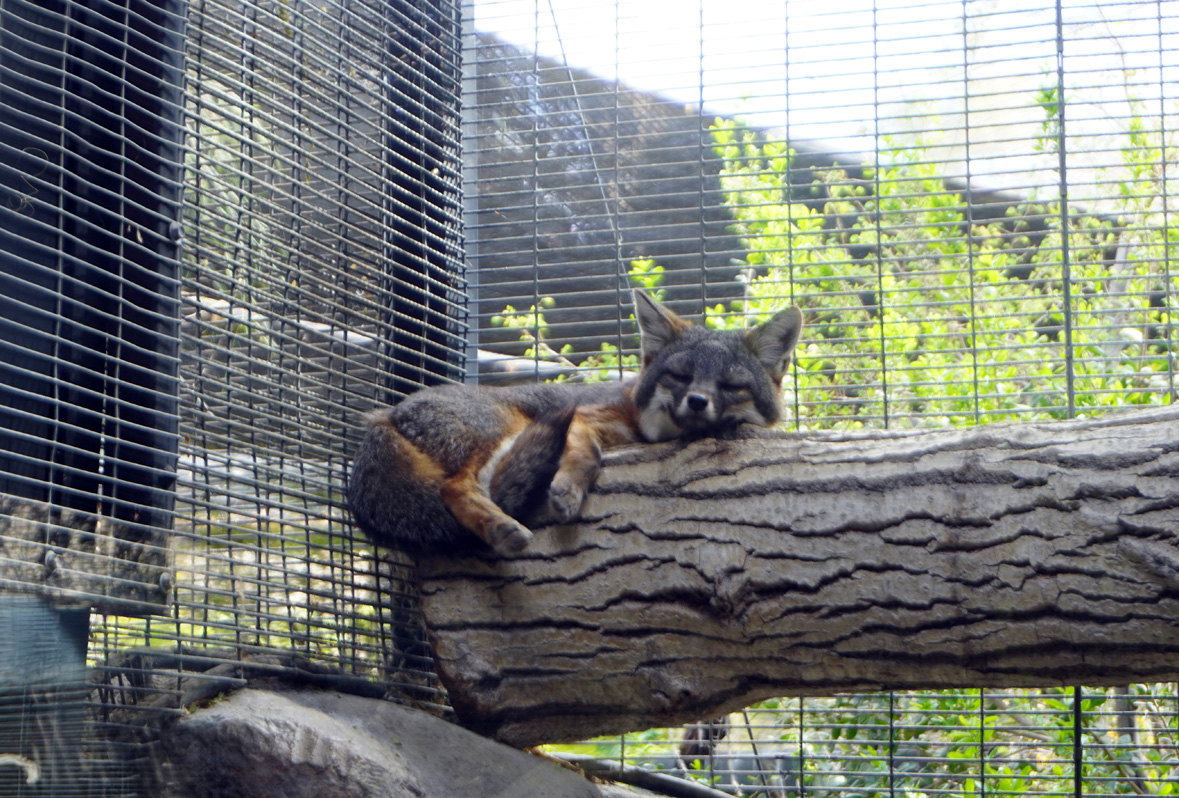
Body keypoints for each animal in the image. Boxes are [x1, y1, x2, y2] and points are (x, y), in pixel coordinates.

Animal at [347, 289, 803, 554]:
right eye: (680, 376)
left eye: (731, 385)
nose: (696, 402)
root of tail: (383, 415)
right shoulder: (585, 418)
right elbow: (587, 453)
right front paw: (568, 489)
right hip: (504, 430)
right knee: (457, 486)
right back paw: (499, 527)